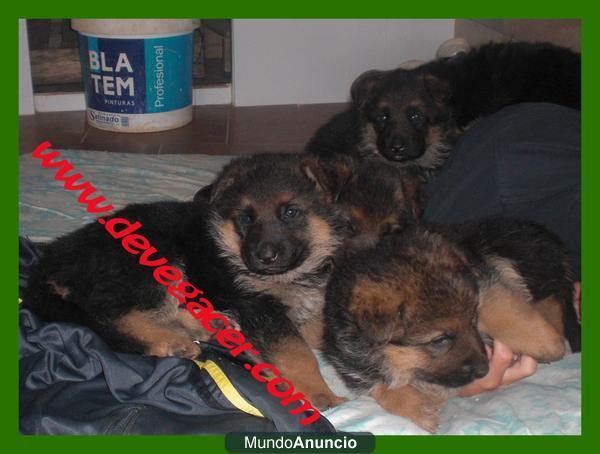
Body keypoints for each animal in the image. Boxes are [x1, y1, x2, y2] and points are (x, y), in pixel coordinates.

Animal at [24, 154, 346, 410]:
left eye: (291, 212)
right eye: (245, 218)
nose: (264, 257)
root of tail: (54, 259)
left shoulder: (310, 306)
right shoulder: (260, 307)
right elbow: (297, 352)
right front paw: (320, 393)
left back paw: (208, 325)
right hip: (151, 259)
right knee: (113, 315)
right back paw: (172, 342)